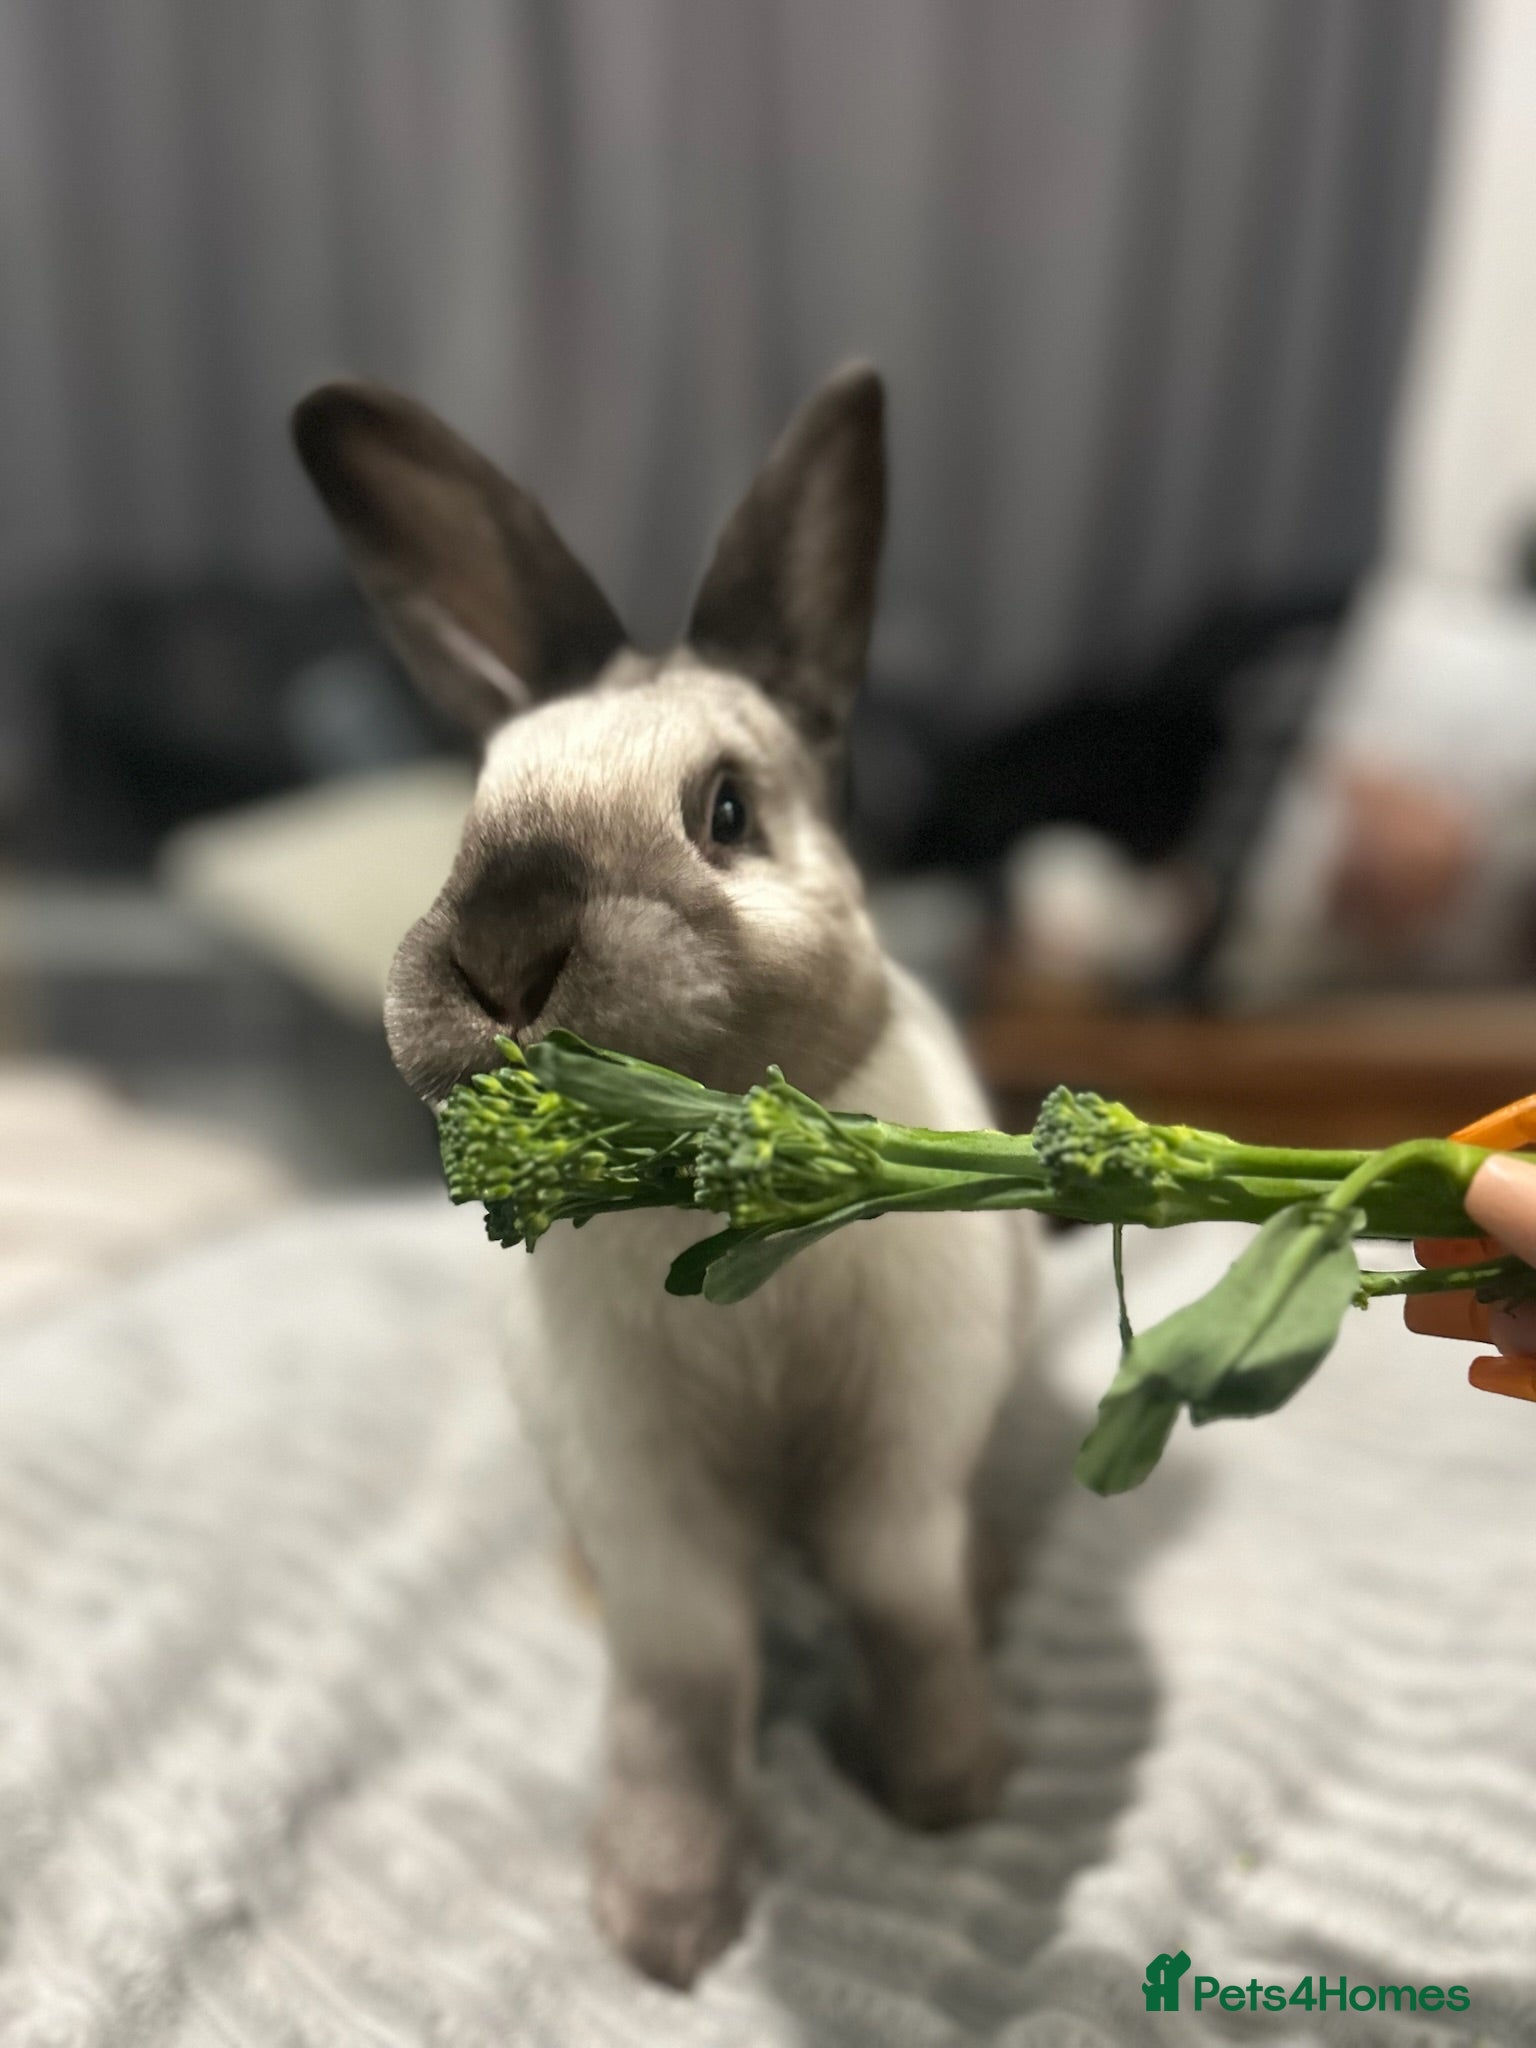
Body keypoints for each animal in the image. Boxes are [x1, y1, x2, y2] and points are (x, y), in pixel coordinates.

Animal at [292, 365, 1036, 1989]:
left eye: (728, 812)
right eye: (473, 816)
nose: (503, 947)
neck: (713, 1195)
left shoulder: (898, 1457)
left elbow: (901, 1601)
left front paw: (950, 1790)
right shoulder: (645, 1511)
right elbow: (683, 1682)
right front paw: (660, 1922)